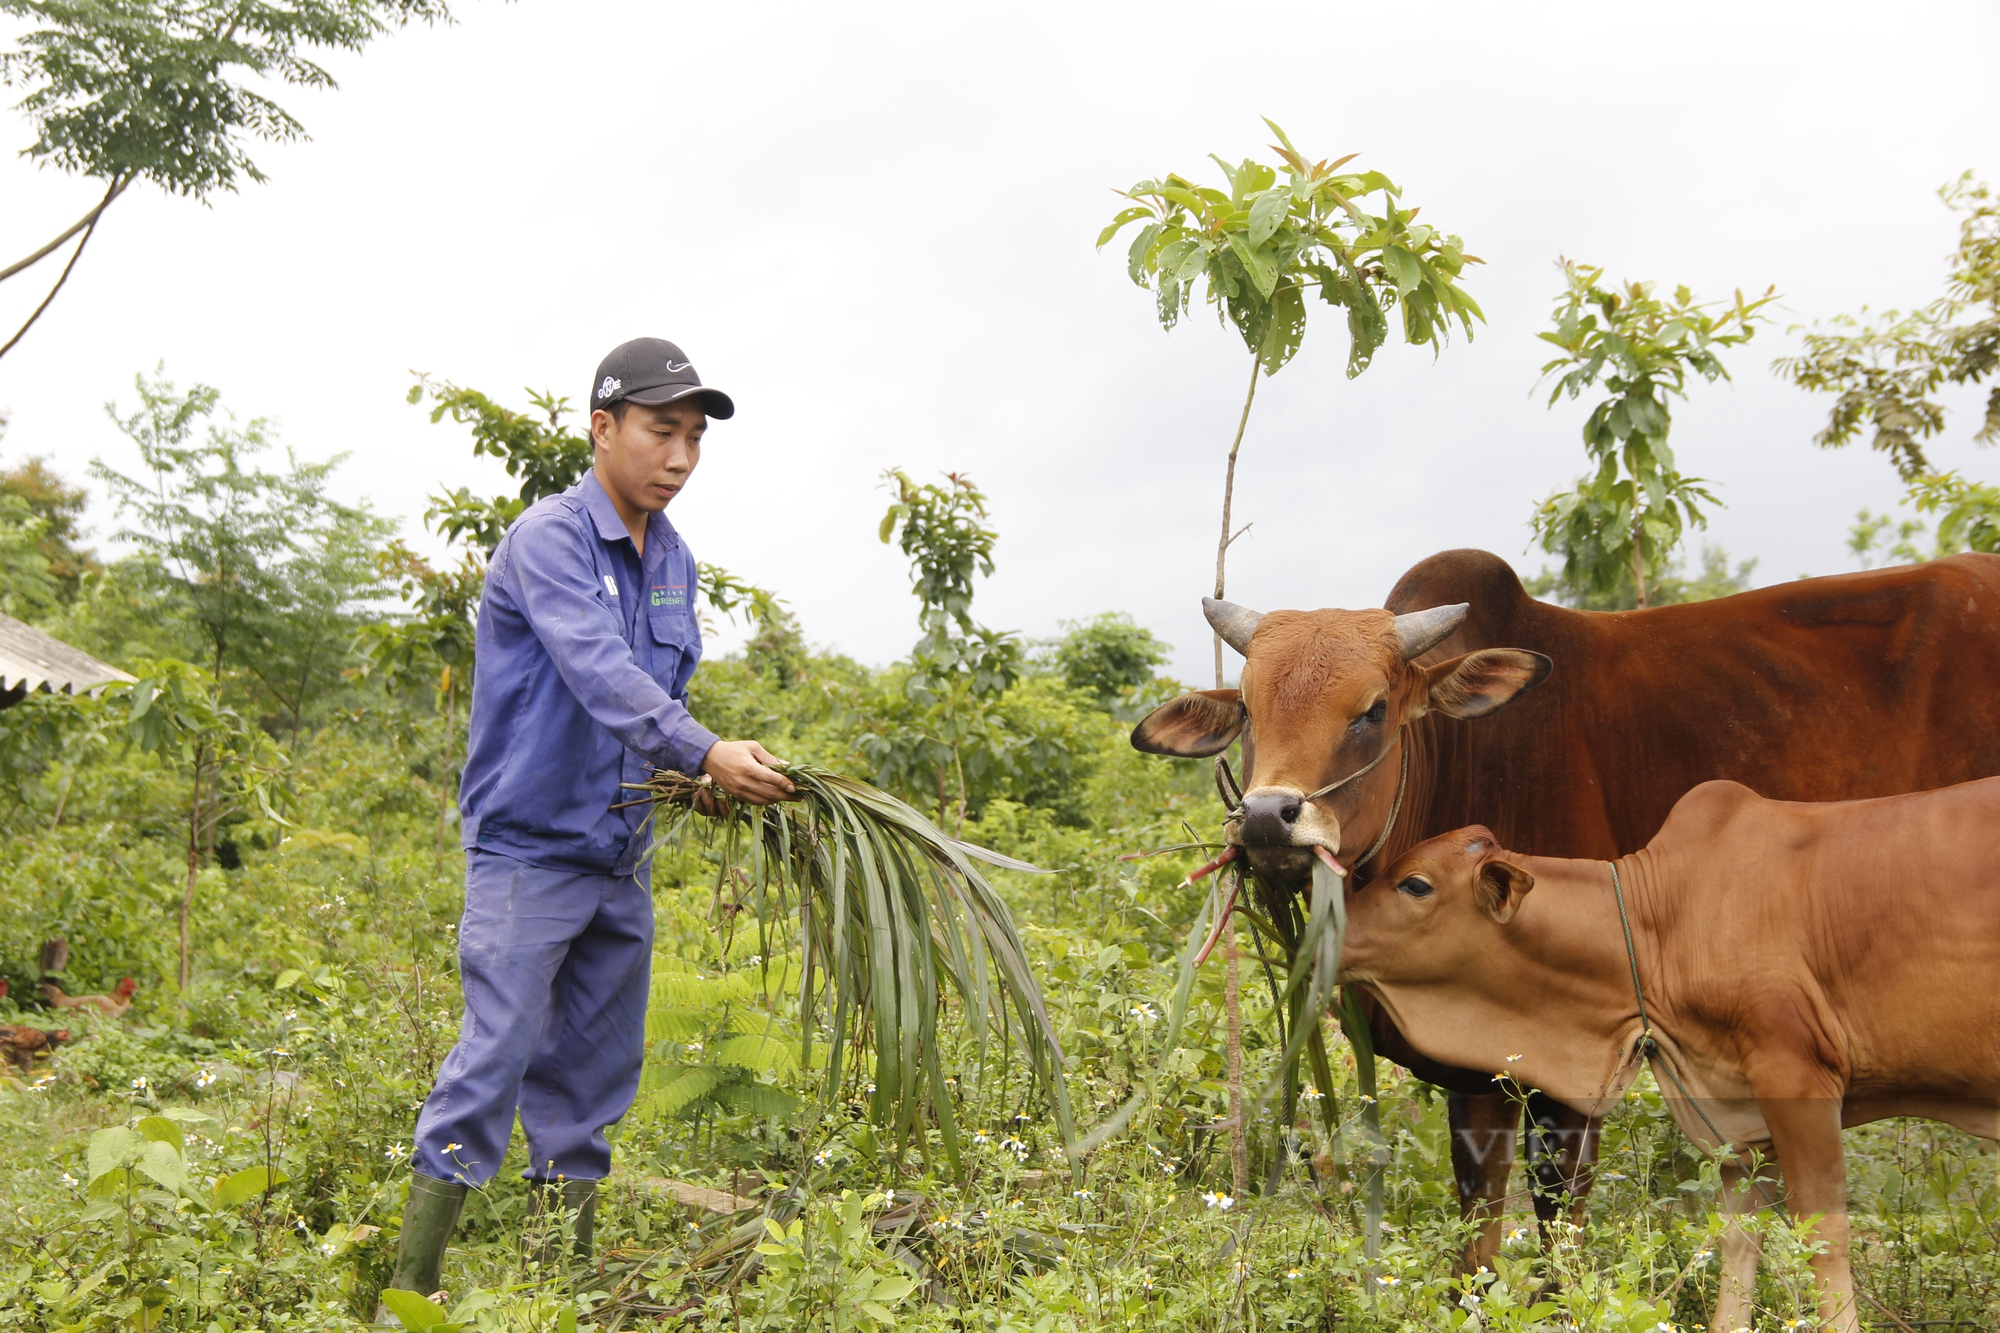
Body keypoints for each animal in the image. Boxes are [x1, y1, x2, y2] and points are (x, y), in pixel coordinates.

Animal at [1136, 548, 2000, 1264]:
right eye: (1250, 711)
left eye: (1372, 709)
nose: (1266, 818)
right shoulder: (1477, 1071)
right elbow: (1478, 1235)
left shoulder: (1582, 1060)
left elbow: (1558, 1235)